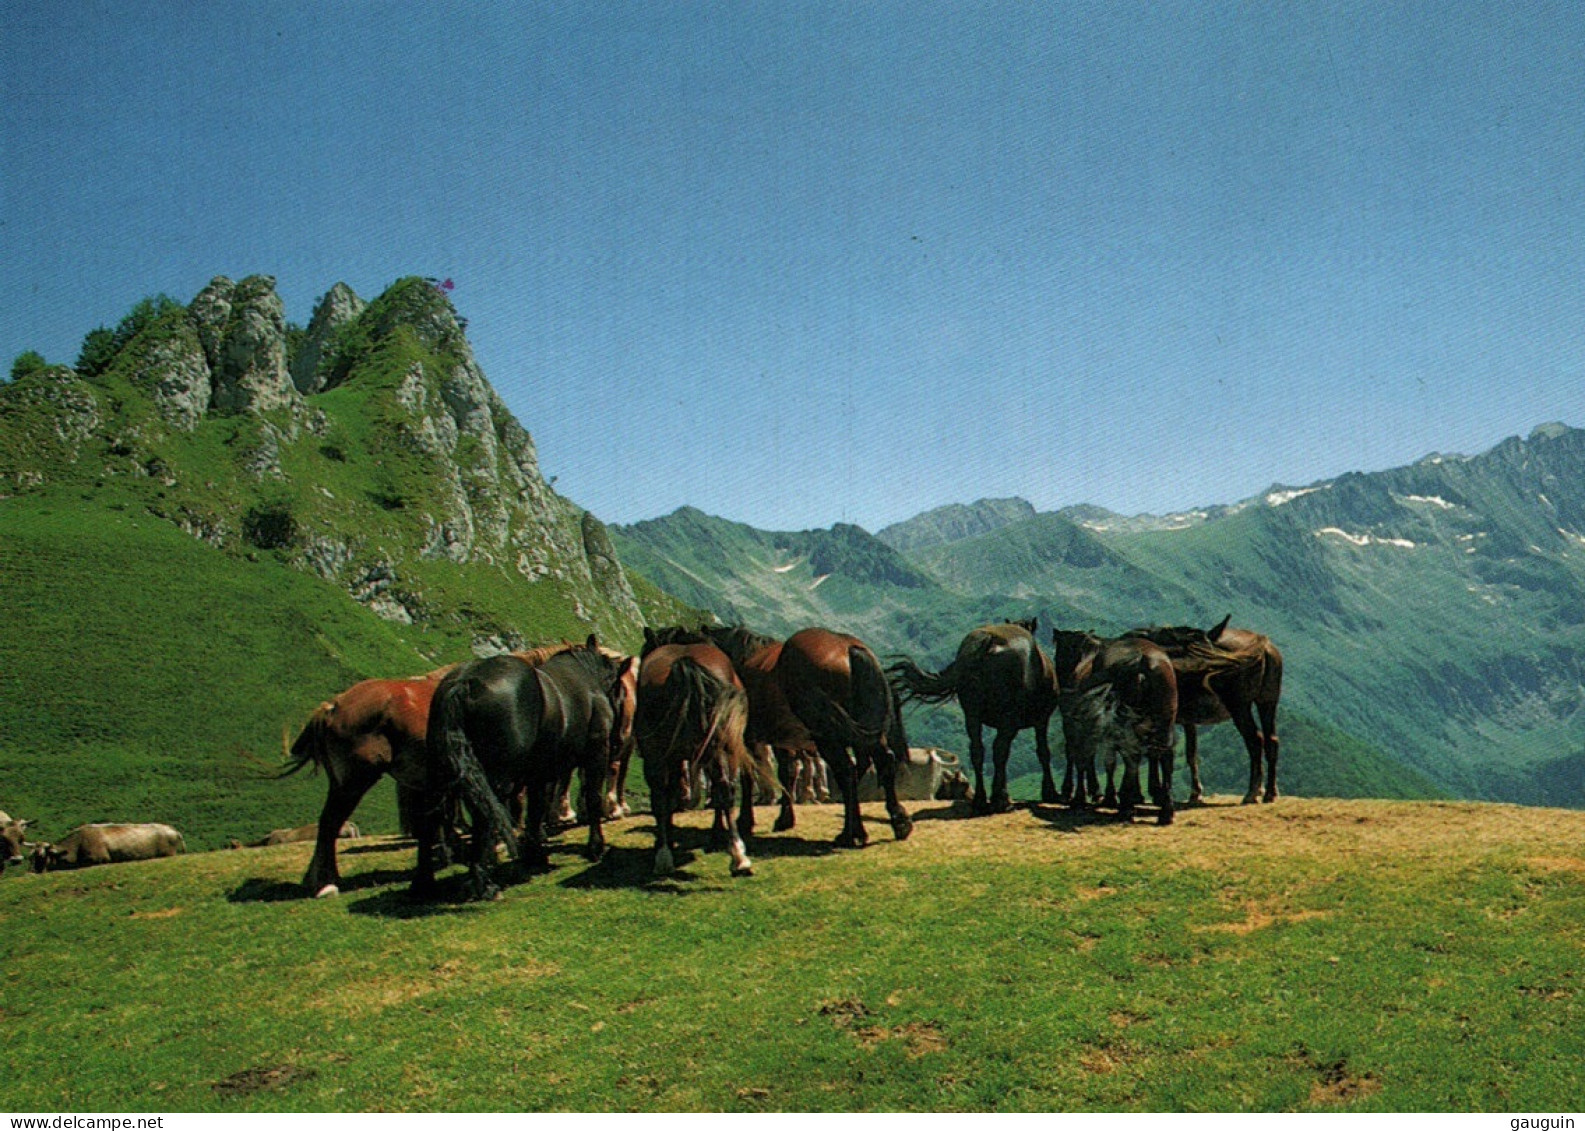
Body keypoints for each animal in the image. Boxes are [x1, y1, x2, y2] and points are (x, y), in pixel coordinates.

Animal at [630, 633, 754, 874]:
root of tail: (684, 662)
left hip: (661, 754)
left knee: (661, 796)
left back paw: (664, 855)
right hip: (719, 747)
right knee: (724, 788)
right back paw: (738, 855)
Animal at [887, 617, 1058, 811]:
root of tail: (988, 640)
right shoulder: (1041, 720)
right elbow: (1043, 751)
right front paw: (1050, 792)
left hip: (972, 716)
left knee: (978, 751)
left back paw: (981, 798)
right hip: (1008, 718)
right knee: (999, 750)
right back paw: (1000, 799)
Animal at [1052, 624, 1179, 817]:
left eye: (1059, 653)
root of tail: (1142, 662)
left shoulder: (1076, 725)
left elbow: (1081, 756)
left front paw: (1081, 795)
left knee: (1129, 754)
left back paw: (1126, 804)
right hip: (1164, 720)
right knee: (1163, 754)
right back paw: (1164, 808)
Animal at [1128, 617, 1287, 801]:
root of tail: (1265, 649)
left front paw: (1156, 791)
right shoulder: (1187, 719)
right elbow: (1191, 754)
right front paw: (1195, 792)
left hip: (1239, 706)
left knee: (1255, 740)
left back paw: (1252, 792)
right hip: (1267, 701)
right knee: (1271, 740)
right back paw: (1270, 792)